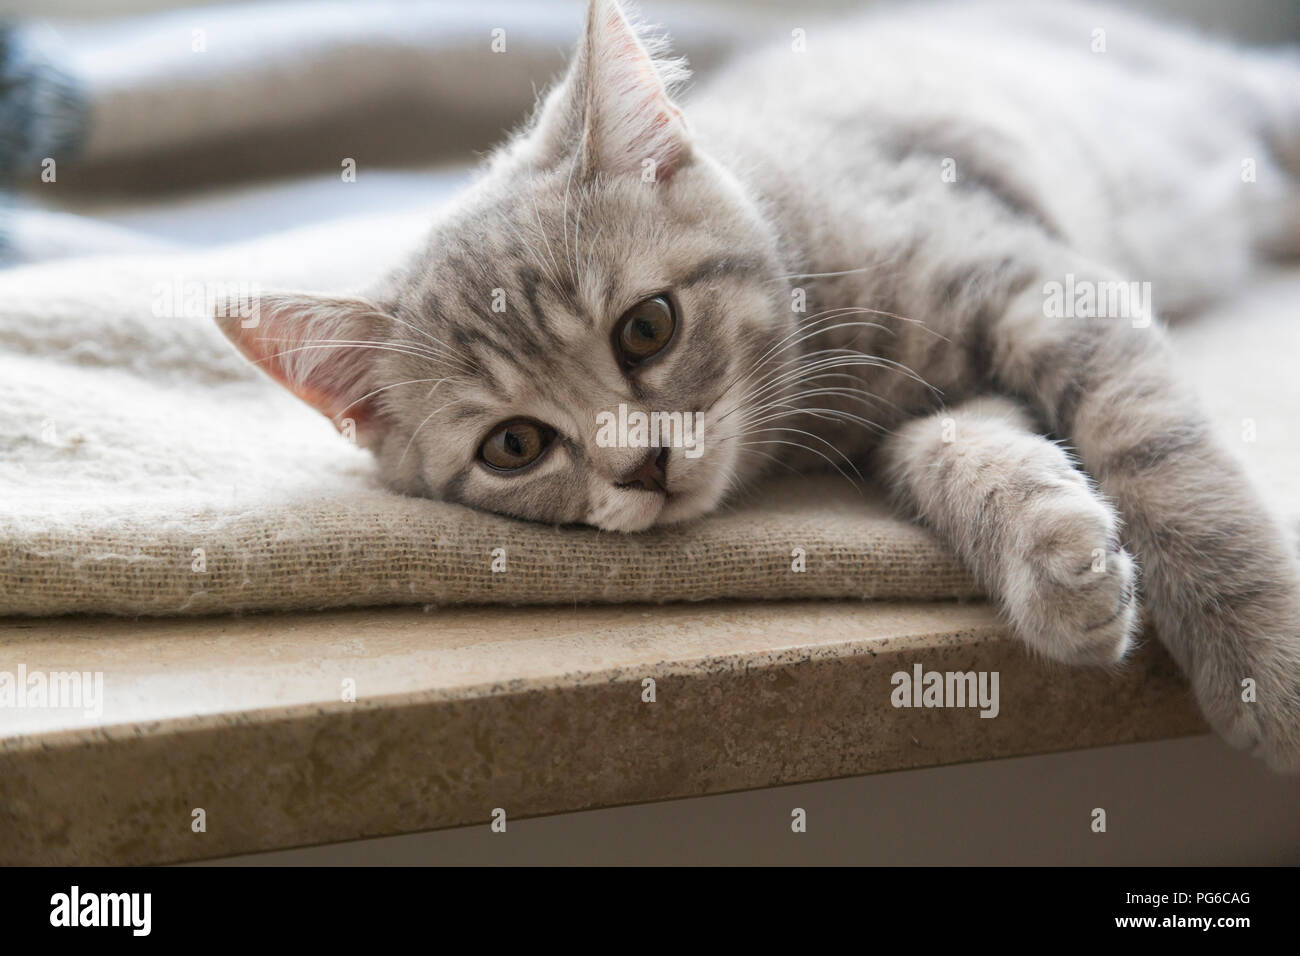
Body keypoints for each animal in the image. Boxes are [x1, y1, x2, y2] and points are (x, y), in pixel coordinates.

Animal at [215, 1, 1300, 770]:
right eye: (513, 446)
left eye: (646, 327)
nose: (642, 466)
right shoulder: (927, 405)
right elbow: (963, 452)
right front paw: (1060, 566)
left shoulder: (1044, 286)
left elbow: (1162, 455)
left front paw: (1260, 655)